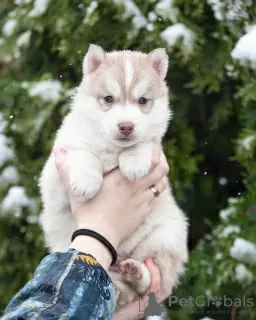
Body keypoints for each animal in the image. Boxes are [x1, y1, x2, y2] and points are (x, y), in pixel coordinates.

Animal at [39, 44, 188, 304]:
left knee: (144, 283)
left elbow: (145, 142)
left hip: (165, 236)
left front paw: (134, 161)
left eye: (143, 100)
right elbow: (84, 153)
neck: (112, 150)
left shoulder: (153, 146)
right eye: (108, 98)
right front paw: (86, 182)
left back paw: (135, 272)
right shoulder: (56, 169)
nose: (126, 126)